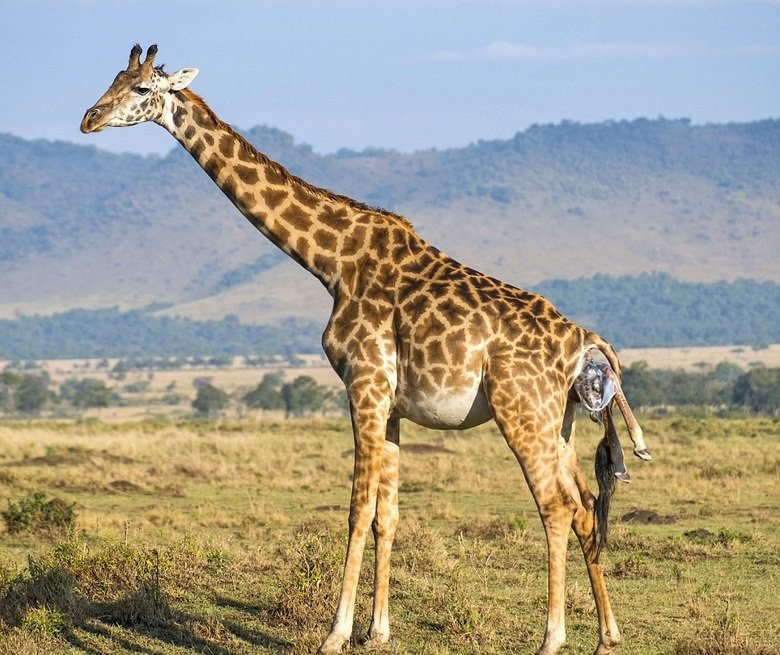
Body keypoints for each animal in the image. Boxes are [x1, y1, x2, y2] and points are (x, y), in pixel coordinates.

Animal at [81, 45, 651, 655]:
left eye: (143, 89)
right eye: (114, 78)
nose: (89, 118)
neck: (331, 261)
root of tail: (584, 341)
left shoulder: (364, 385)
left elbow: (356, 510)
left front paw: (336, 633)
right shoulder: (392, 404)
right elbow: (387, 516)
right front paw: (378, 631)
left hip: (520, 410)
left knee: (556, 507)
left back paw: (551, 638)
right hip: (558, 422)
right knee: (586, 506)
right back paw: (608, 636)